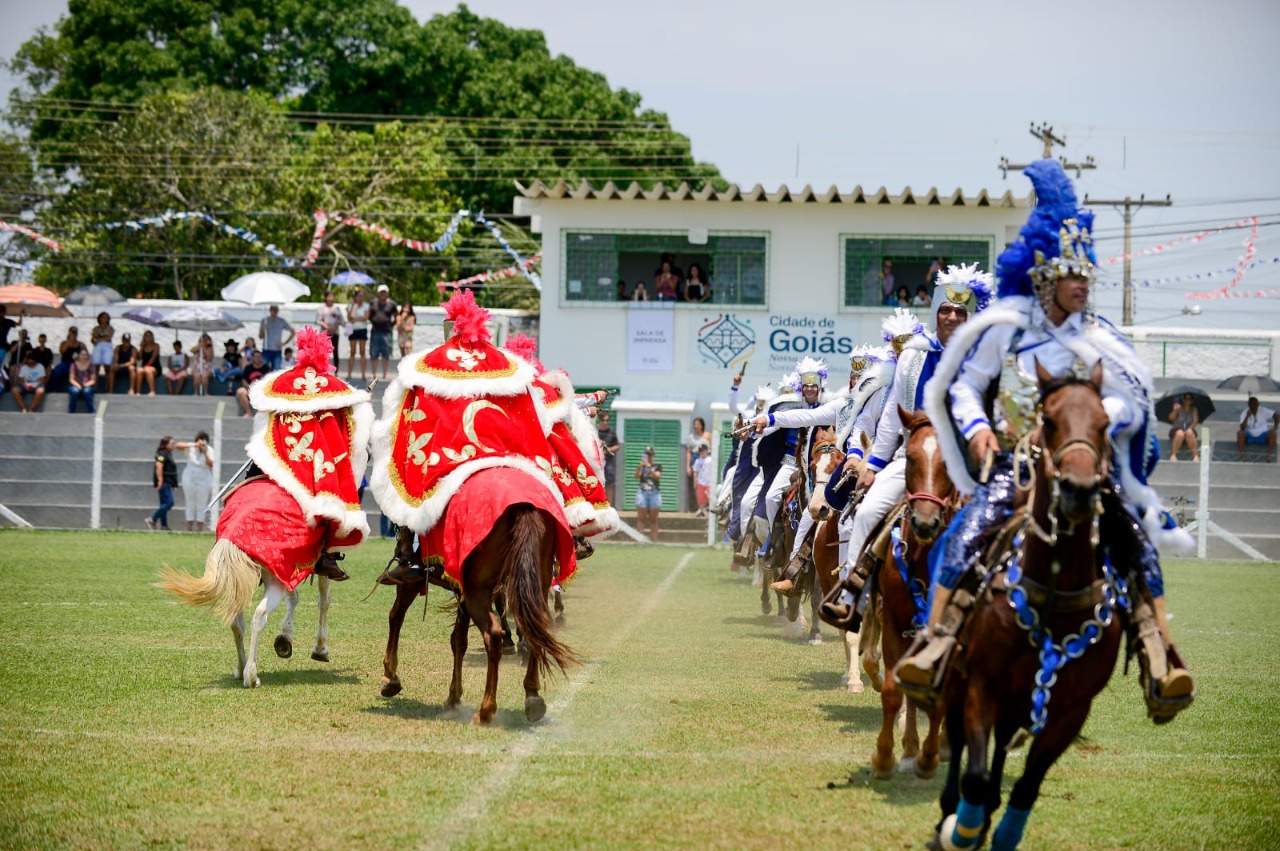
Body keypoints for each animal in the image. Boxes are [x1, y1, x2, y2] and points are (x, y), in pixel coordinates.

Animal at [156, 540, 330, 685]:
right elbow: (323, 600)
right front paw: (319, 648)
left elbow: (297, 597)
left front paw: (285, 636)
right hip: (270, 580)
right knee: (260, 614)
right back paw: (251, 675)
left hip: (241, 581)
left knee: (237, 623)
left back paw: (242, 668)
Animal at [373, 470, 576, 721]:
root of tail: (523, 508)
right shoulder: (461, 592)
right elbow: (458, 640)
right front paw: (453, 697)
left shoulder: (414, 582)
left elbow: (396, 617)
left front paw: (390, 677)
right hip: (531, 581)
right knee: (534, 629)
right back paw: (533, 697)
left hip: (478, 592)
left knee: (493, 634)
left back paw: (486, 710)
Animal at [931, 360, 1121, 844]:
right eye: (1049, 421)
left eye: (1104, 423)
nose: (1078, 489)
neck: (1054, 590)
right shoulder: (981, 683)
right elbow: (974, 773)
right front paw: (962, 828)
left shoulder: (1071, 709)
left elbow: (1028, 785)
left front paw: (998, 828)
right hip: (960, 681)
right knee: (957, 739)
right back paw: (950, 811)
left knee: (1001, 742)